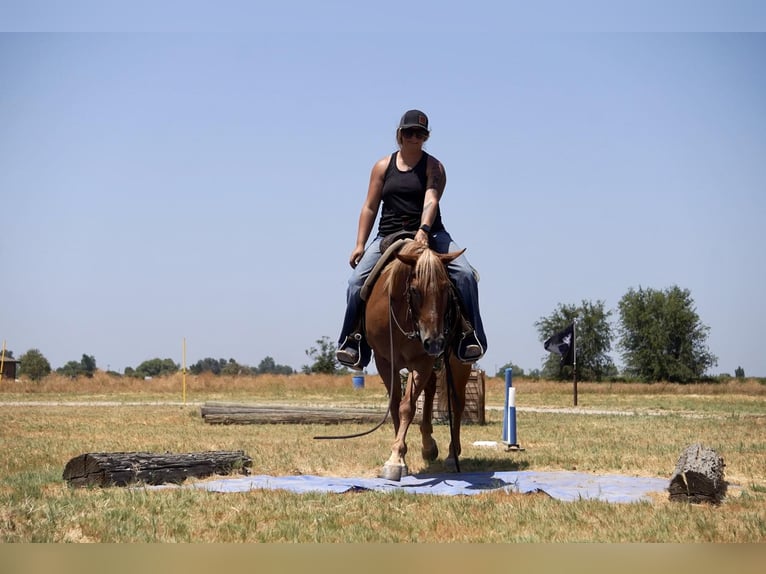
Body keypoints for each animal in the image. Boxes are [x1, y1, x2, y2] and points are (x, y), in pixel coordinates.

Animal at [364, 238, 474, 482]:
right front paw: (399, 453)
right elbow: (395, 405)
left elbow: (407, 406)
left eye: (446, 288)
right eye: (414, 290)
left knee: (457, 403)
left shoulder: (421, 362)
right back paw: (428, 446)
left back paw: (452, 454)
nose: (435, 342)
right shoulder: (385, 362)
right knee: (432, 389)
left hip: (458, 363)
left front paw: (395, 459)